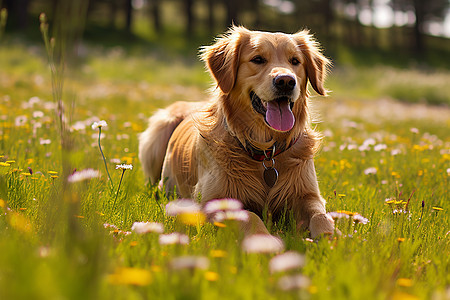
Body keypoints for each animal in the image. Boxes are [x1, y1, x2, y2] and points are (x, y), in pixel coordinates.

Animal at [139, 27, 336, 239]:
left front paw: (332, 239)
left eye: (295, 61)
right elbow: (250, 217)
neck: (266, 152)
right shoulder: (213, 201)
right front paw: (266, 241)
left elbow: (321, 216)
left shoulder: (308, 194)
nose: (285, 81)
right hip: (158, 135)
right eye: (258, 59)